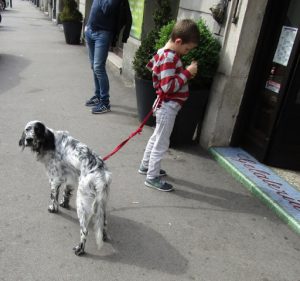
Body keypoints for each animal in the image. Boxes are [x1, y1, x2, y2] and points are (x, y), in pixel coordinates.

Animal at [19, 119, 112, 255]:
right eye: (27, 129)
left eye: (37, 130)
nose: (29, 139)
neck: (49, 142)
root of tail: (101, 173)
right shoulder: (70, 176)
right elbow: (66, 192)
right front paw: (64, 203)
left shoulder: (54, 179)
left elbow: (53, 196)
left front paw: (53, 208)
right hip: (102, 203)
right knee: (103, 223)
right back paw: (104, 237)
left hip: (82, 203)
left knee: (84, 230)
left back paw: (80, 249)